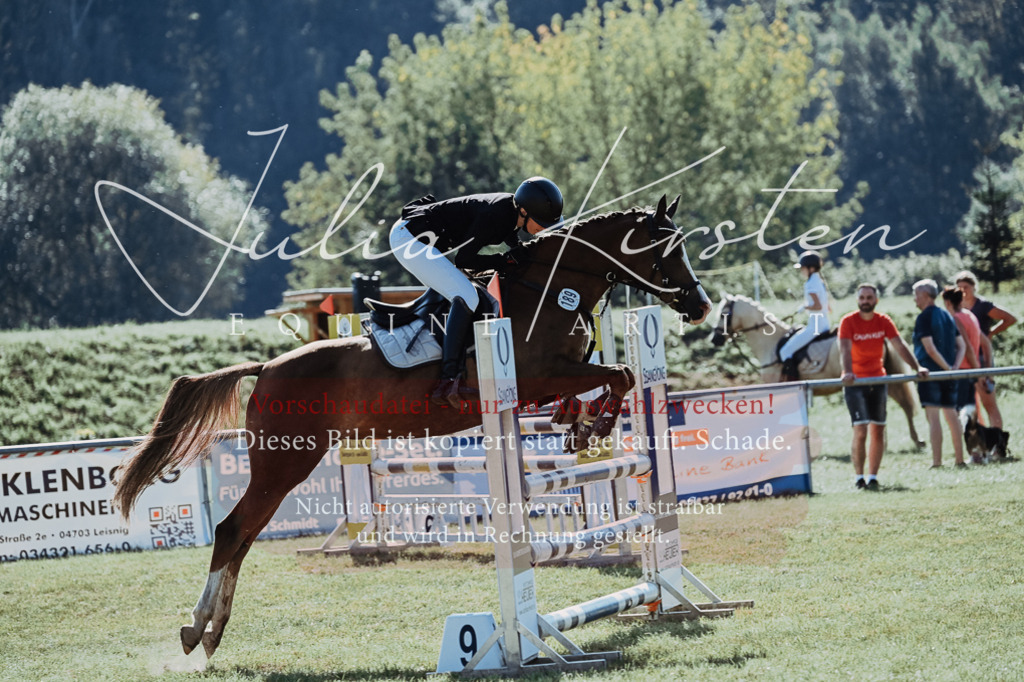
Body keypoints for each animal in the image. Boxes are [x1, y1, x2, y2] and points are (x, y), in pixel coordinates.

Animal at [113, 194, 712, 658]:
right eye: (665, 249)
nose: (701, 306)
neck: (549, 288)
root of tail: (267, 367)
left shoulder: (551, 379)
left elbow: (611, 379)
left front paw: (581, 427)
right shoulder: (537, 373)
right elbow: (622, 373)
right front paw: (594, 425)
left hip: (288, 462)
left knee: (243, 535)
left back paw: (211, 632)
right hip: (284, 460)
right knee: (232, 530)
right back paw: (197, 630)